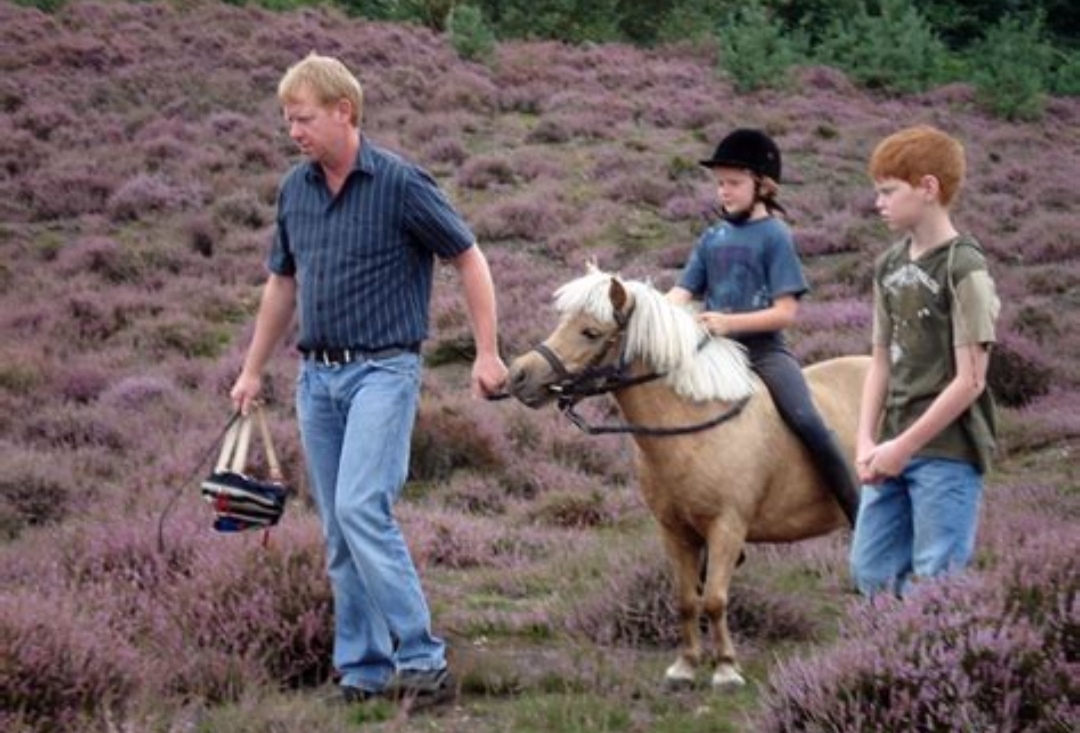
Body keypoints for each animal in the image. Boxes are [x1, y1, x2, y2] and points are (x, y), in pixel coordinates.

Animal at [507, 264, 870, 690]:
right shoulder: (674, 530)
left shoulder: (727, 528)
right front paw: (686, 666)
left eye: (590, 332)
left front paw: (726, 668)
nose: (518, 375)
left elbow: (714, 599)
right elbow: (685, 599)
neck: (694, 426)